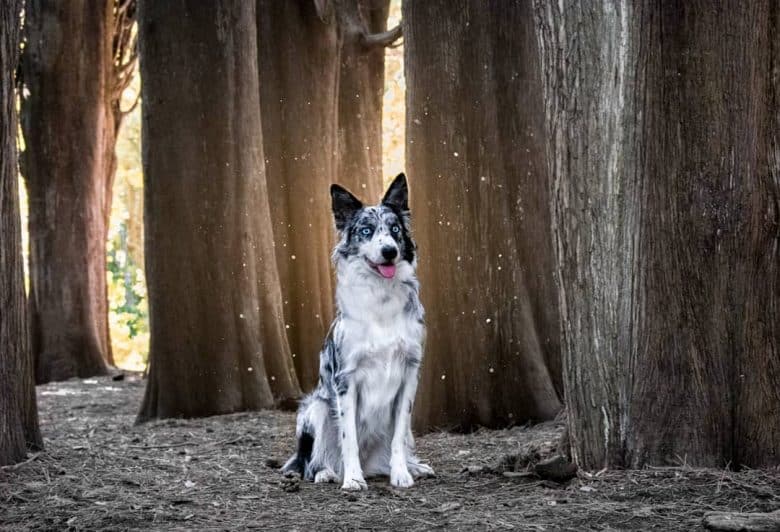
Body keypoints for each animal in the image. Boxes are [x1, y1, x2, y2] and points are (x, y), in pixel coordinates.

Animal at [284, 174, 436, 490]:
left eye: (394, 229)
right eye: (366, 230)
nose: (389, 251)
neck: (381, 300)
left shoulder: (409, 374)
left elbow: (398, 436)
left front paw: (401, 473)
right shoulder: (346, 379)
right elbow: (349, 436)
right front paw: (353, 479)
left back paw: (413, 466)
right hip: (315, 408)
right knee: (311, 460)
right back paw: (327, 472)